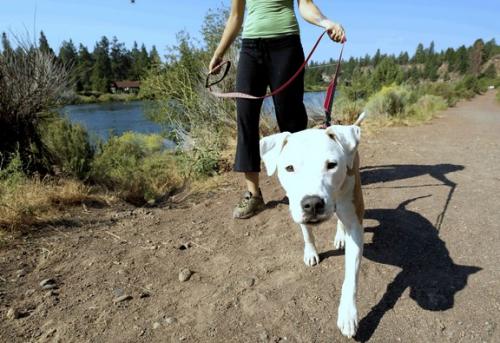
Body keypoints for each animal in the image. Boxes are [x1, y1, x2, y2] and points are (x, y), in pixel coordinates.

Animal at [260, 113, 366, 338]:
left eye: (332, 165)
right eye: (289, 168)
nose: (313, 204)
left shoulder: (355, 225)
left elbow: (351, 277)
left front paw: (348, 314)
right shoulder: (299, 212)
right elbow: (307, 234)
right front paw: (310, 253)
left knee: (341, 219)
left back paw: (340, 236)